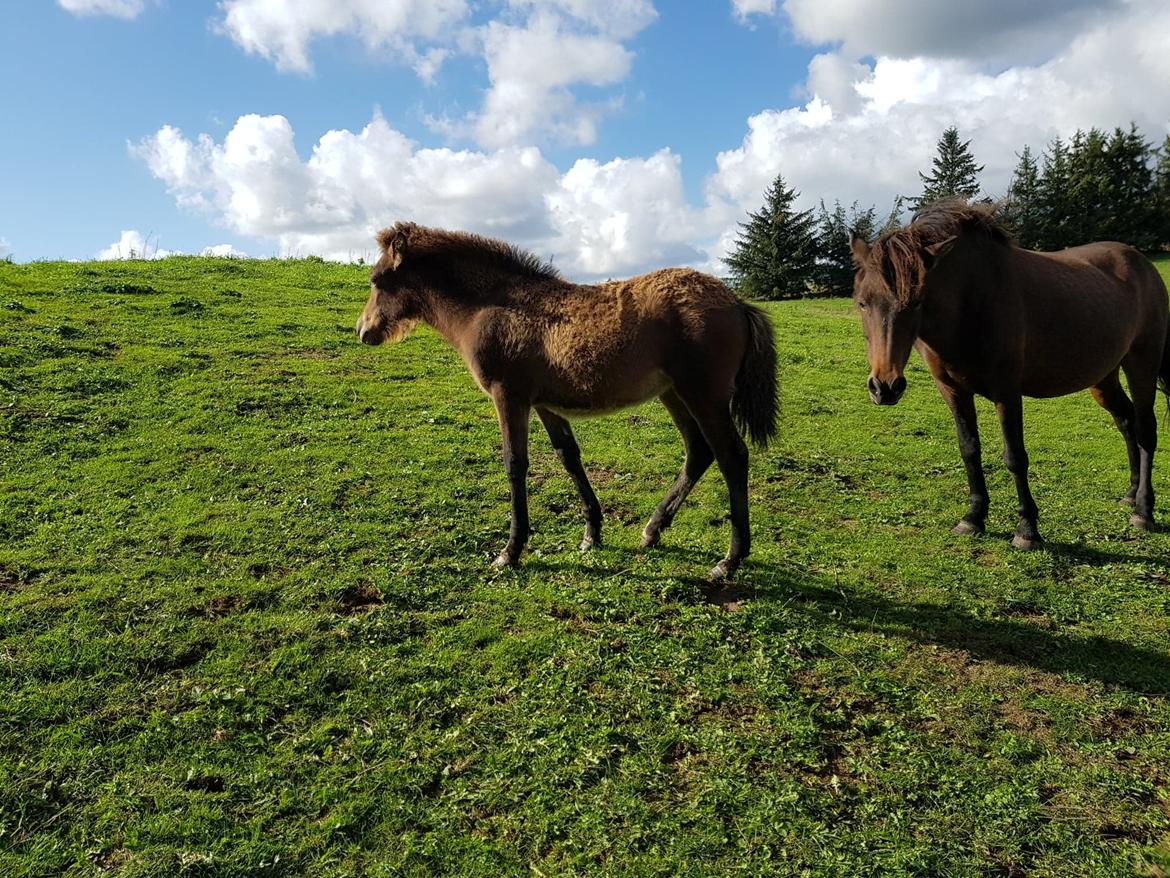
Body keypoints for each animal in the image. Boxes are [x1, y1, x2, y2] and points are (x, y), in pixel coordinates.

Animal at [851, 202, 1170, 552]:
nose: (885, 387)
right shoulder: (952, 390)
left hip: (1142, 363)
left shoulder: (1007, 391)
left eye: (917, 302)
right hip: (1104, 376)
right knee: (1126, 421)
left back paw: (1143, 511)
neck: (972, 301)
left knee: (1145, 430)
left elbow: (1015, 457)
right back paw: (1130, 494)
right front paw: (973, 518)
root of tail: (1142, 263)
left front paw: (1027, 529)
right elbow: (969, 449)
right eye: (862, 302)